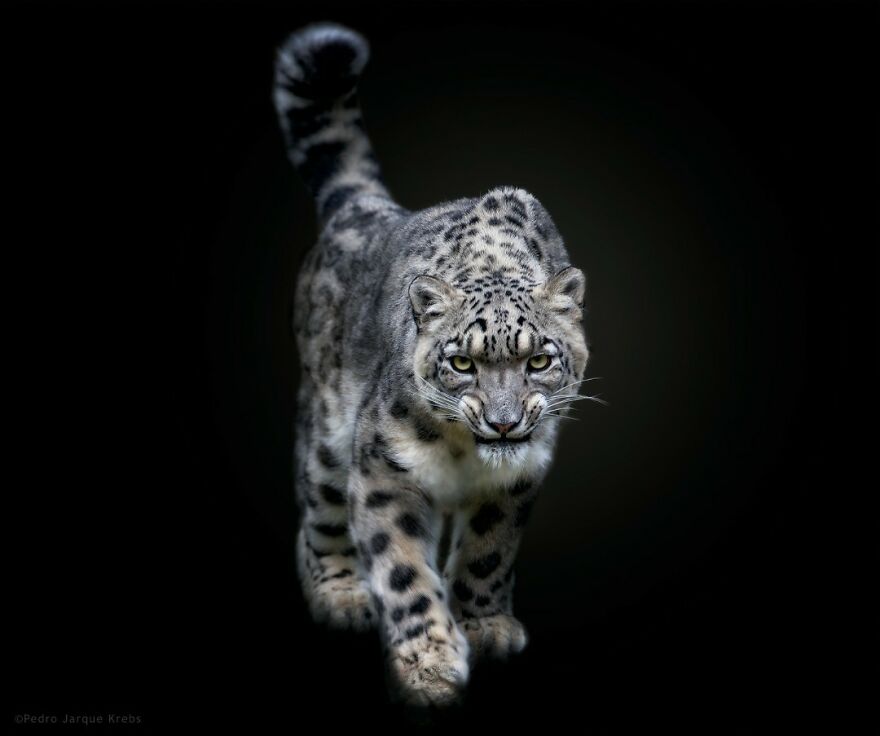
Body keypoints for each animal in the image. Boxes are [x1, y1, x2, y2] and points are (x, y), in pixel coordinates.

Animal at [273, 22, 592, 707]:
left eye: (539, 359)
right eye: (463, 363)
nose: (503, 423)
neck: (462, 455)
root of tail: (365, 210)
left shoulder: (518, 478)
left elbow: (488, 552)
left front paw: (485, 625)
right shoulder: (382, 472)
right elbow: (402, 571)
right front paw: (431, 667)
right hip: (327, 436)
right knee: (318, 512)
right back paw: (340, 594)